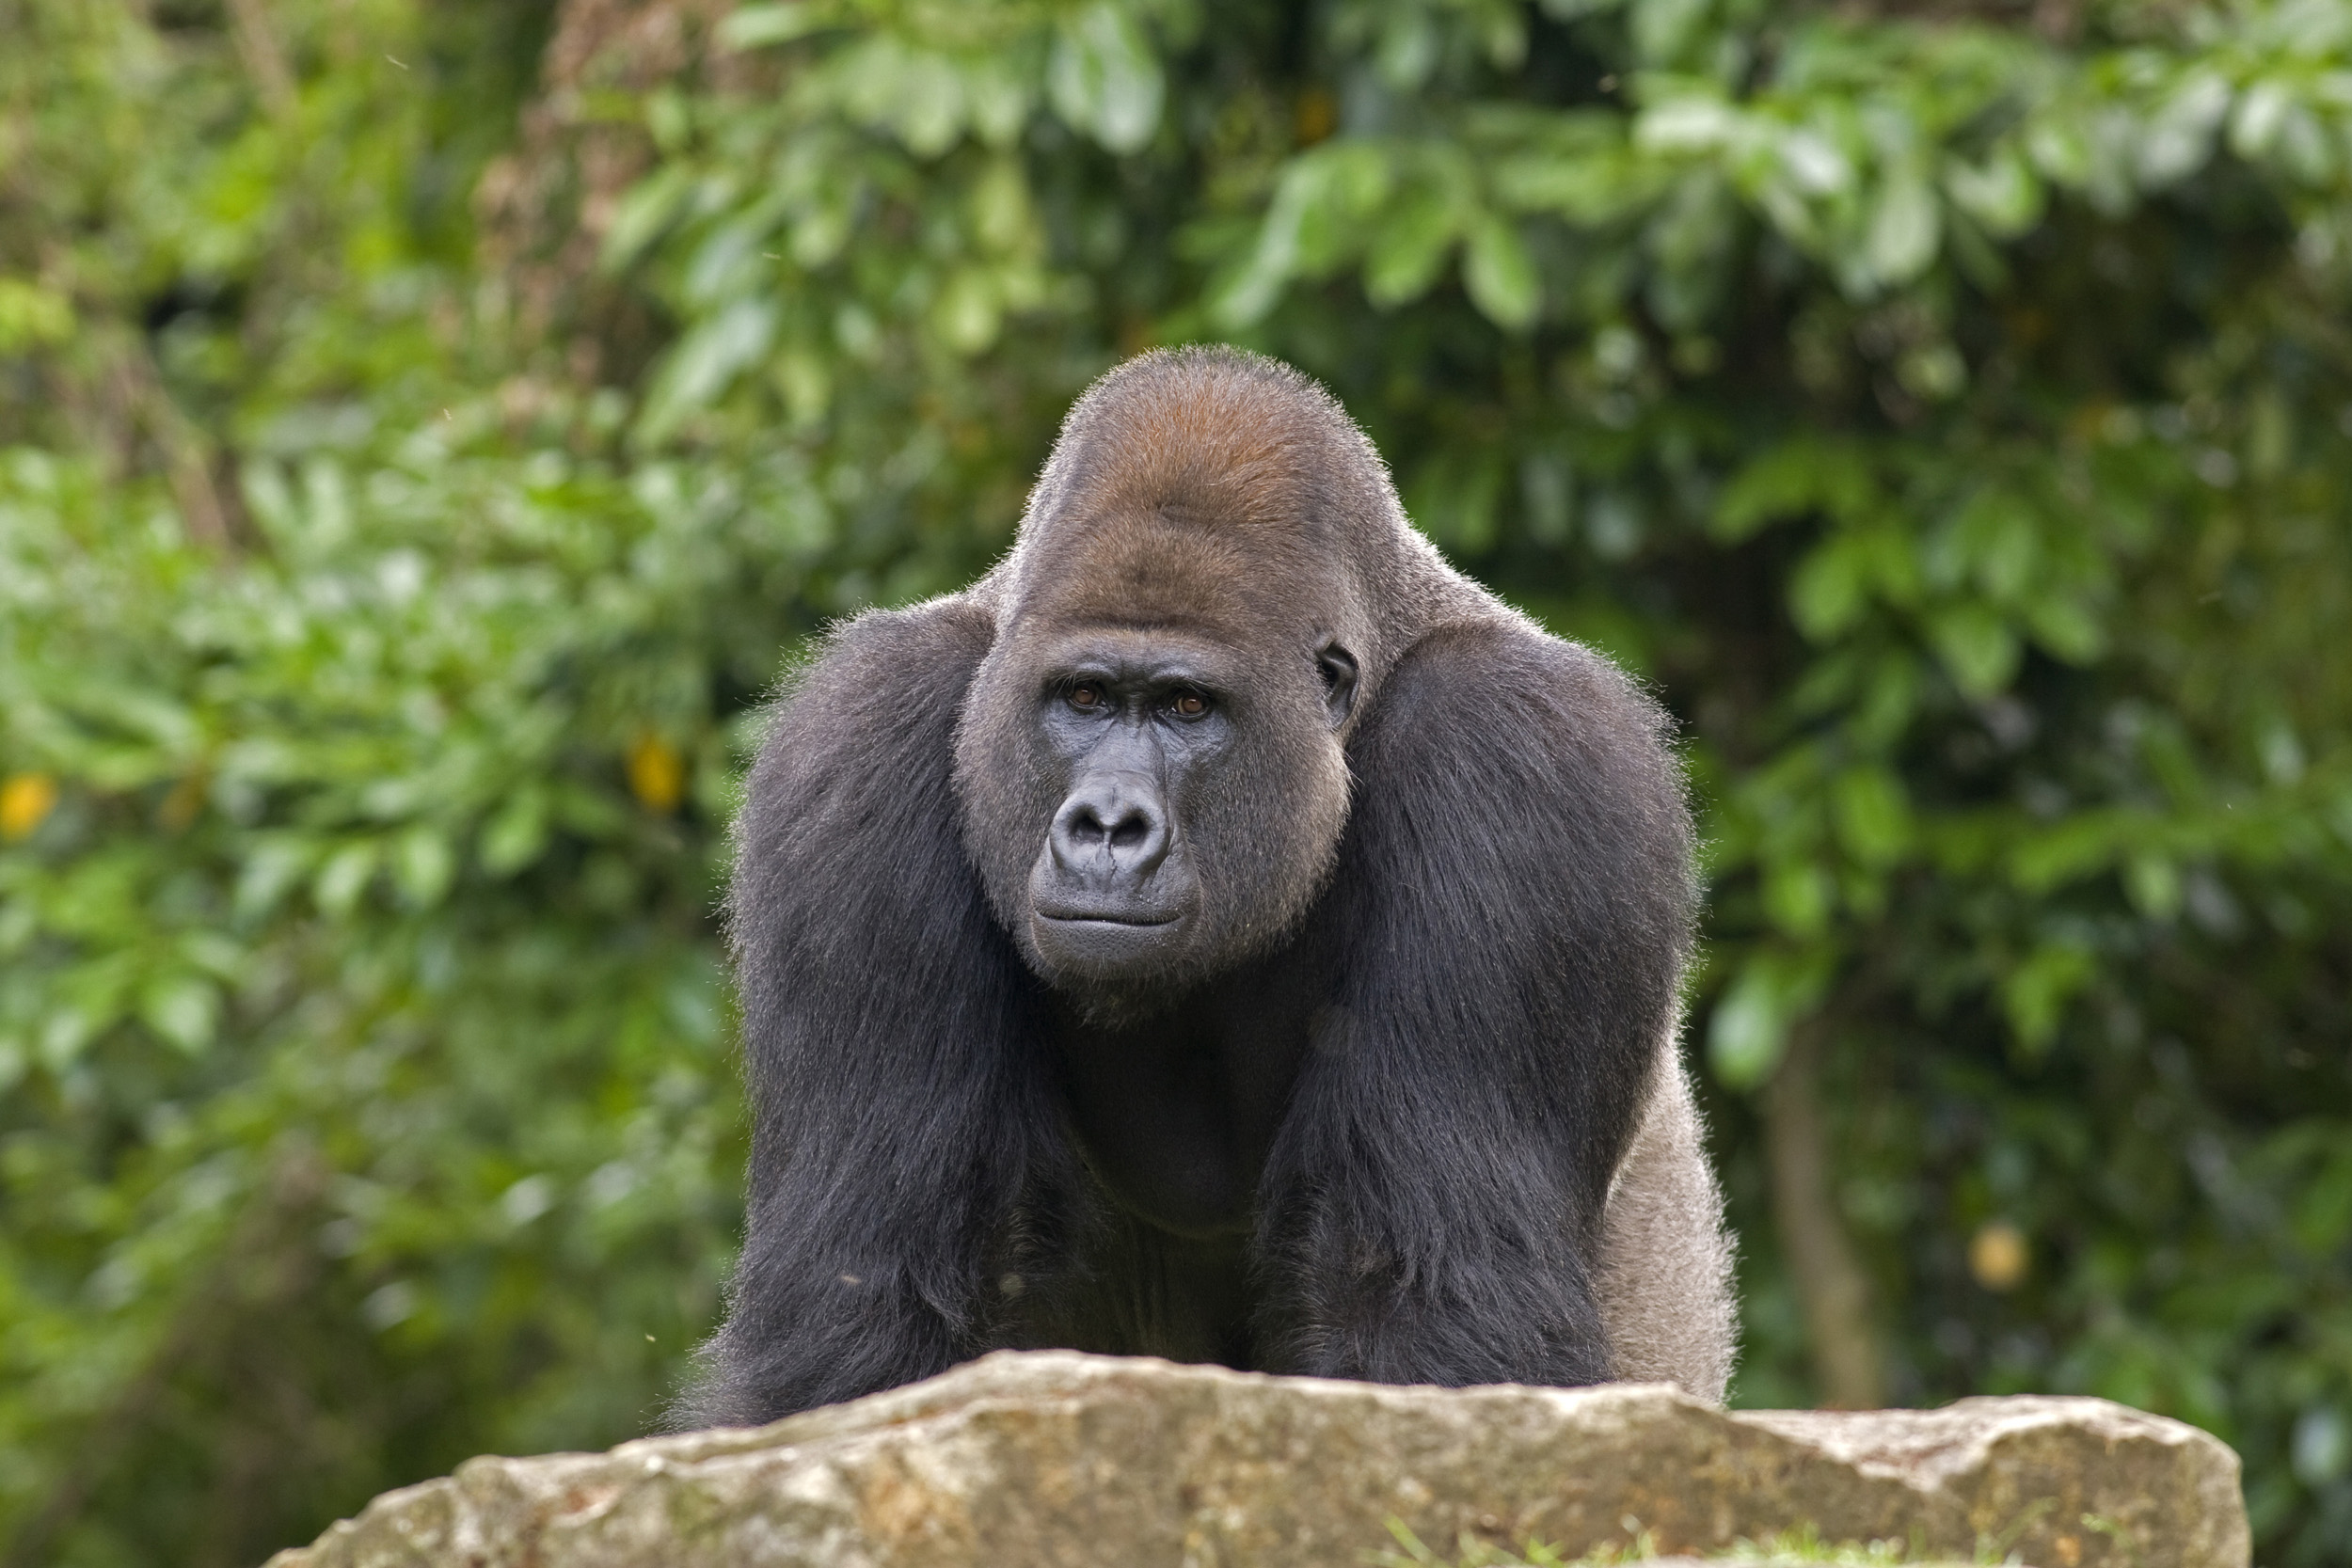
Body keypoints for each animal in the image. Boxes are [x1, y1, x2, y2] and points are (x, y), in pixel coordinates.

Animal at [677, 345, 1734, 1428]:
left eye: (1187, 707)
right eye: (1085, 697)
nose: (1108, 826)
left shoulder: (1527, 753)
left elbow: (1428, 1303)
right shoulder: (862, 731)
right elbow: (868, 1304)